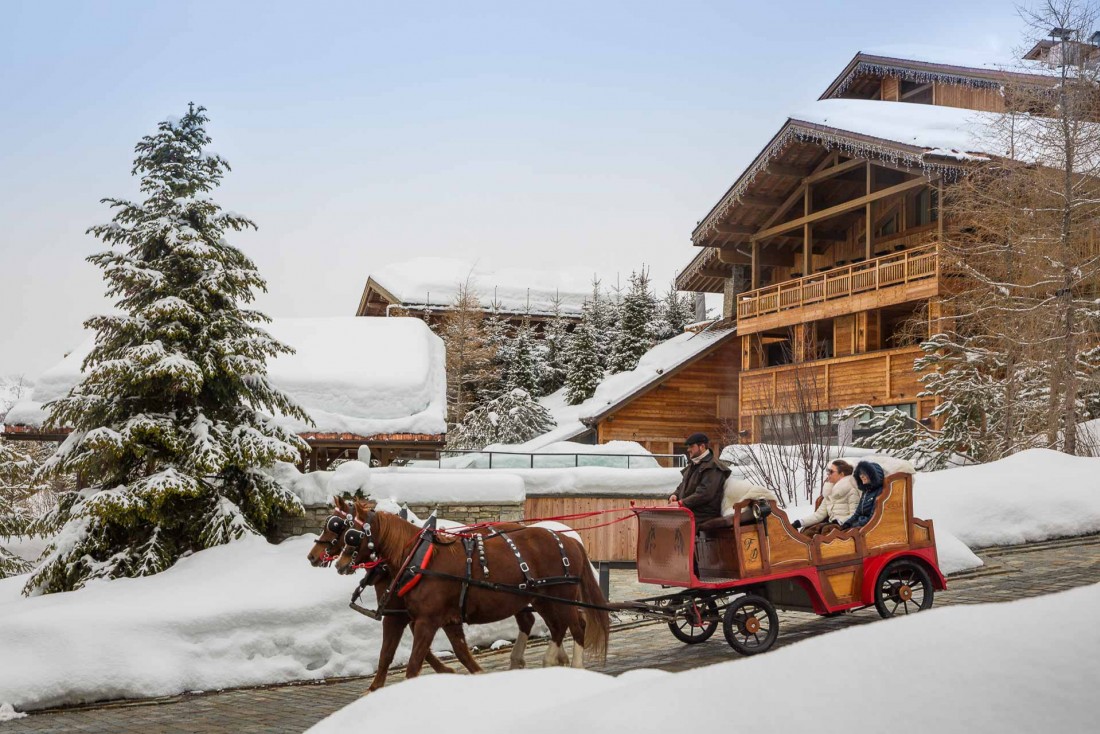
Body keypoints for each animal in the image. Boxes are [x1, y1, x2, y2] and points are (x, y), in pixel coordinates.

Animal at [308, 497, 534, 691]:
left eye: (337, 526)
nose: (312, 556)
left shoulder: (404, 613)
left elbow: (404, 652)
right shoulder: (411, 613)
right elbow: (417, 651)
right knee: (527, 620)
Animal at [334, 501, 611, 682]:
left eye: (351, 535)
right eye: (337, 528)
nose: (339, 563)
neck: (418, 559)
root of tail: (570, 540)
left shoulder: (426, 620)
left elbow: (414, 665)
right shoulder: (438, 618)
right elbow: (456, 652)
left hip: (560, 596)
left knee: (576, 627)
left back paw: (570, 664)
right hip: (543, 598)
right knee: (555, 626)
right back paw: (547, 661)